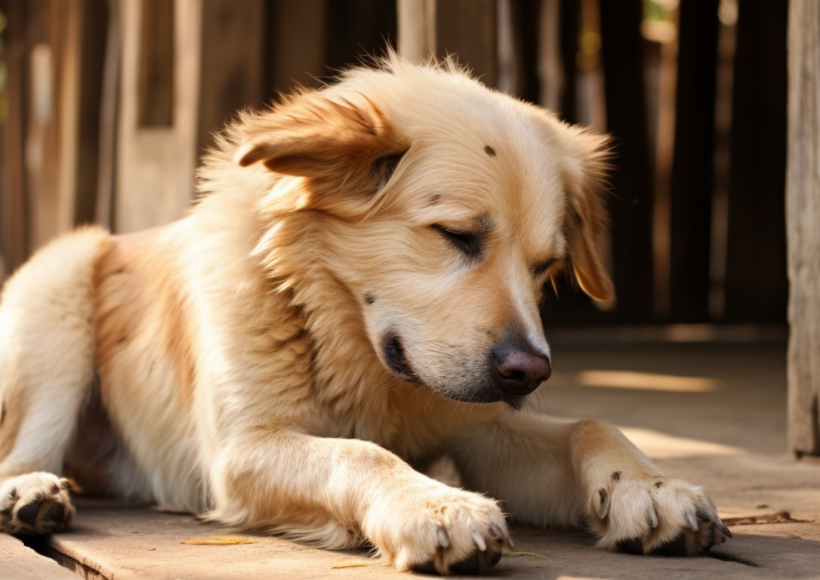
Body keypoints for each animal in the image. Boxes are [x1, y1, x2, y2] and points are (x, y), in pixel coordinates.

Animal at [0, 56, 732, 572]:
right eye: (456, 235)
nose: (530, 373)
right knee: (19, 449)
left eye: (545, 266)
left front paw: (650, 487)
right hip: (62, 291)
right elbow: (359, 452)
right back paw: (32, 493)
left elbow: (591, 425)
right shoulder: (241, 453)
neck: (338, 334)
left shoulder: (483, 435)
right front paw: (433, 504)